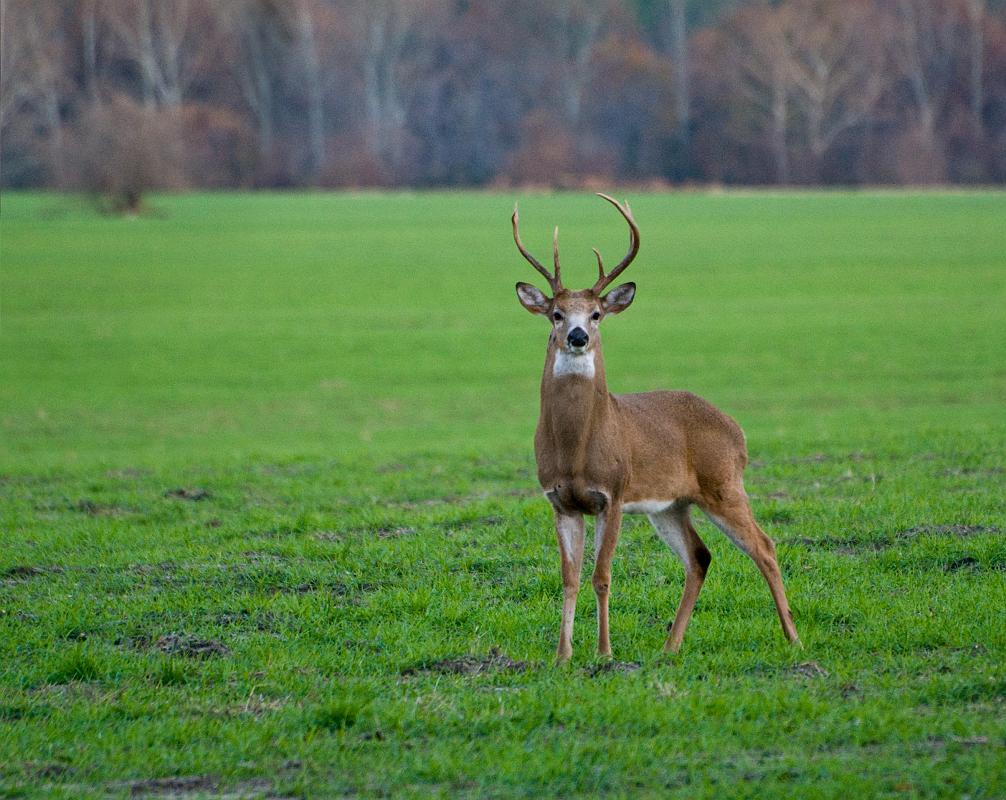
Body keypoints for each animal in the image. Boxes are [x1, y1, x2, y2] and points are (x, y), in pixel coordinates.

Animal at [511, 194, 800, 663]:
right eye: (555, 313)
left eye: (596, 314)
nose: (577, 336)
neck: (576, 450)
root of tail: (736, 430)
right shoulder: (560, 501)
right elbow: (569, 578)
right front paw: (562, 656)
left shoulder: (613, 493)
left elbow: (602, 575)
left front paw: (604, 652)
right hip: (671, 504)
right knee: (700, 556)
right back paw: (670, 647)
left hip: (723, 483)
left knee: (765, 546)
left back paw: (793, 637)